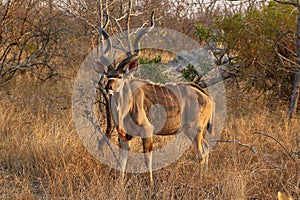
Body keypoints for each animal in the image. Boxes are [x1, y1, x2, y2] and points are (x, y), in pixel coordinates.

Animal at [95, 12, 214, 185]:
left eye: (119, 76)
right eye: (107, 75)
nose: (108, 87)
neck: (126, 106)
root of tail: (206, 96)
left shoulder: (147, 131)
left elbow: (147, 159)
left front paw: (150, 183)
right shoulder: (125, 136)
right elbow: (123, 160)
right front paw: (120, 183)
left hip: (195, 129)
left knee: (202, 152)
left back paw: (200, 179)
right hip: (193, 130)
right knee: (206, 148)